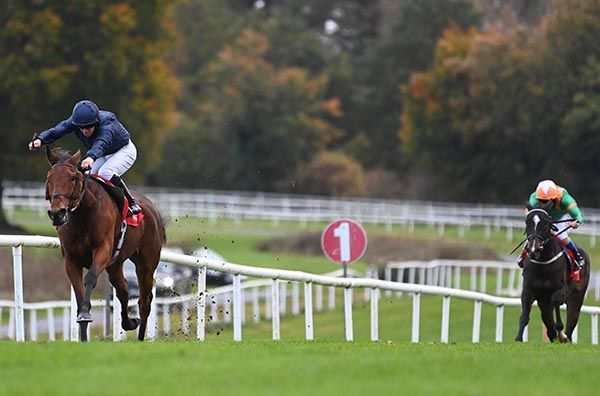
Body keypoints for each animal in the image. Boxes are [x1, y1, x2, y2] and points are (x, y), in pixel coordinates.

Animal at [43, 147, 166, 342]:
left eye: (73, 177)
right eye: (50, 177)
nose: (57, 213)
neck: (83, 214)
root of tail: (153, 209)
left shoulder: (103, 249)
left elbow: (90, 278)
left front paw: (85, 315)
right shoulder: (71, 259)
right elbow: (78, 290)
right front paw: (83, 332)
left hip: (146, 264)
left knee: (145, 300)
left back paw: (140, 337)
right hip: (115, 266)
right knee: (124, 290)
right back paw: (129, 322)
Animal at [516, 209, 592, 342]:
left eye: (546, 224)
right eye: (527, 223)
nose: (533, 249)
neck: (543, 264)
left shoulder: (560, 290)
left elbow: (557, 303)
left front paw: (561, 335)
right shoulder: (528, 290)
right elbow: (524, 316)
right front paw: (519, 338)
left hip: (577, 296)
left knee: (571, 320)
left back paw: (565, 337)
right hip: (544, 301)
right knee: (548, 318)